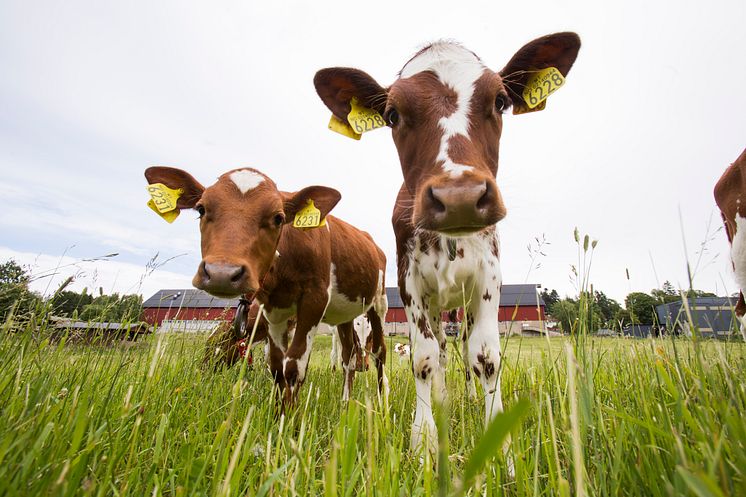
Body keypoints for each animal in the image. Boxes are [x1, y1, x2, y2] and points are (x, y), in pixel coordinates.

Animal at [310, 31, 580, 450]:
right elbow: (424, 357)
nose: (459, 197)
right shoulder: (410, 283)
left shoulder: (489, 277)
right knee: (439, 349)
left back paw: (466, 395)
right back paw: (442, 398)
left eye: (500, 101)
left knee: (464, 347)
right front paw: (424, 438)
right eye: (393, 114)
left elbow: (485, 355)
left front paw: (497, 438)